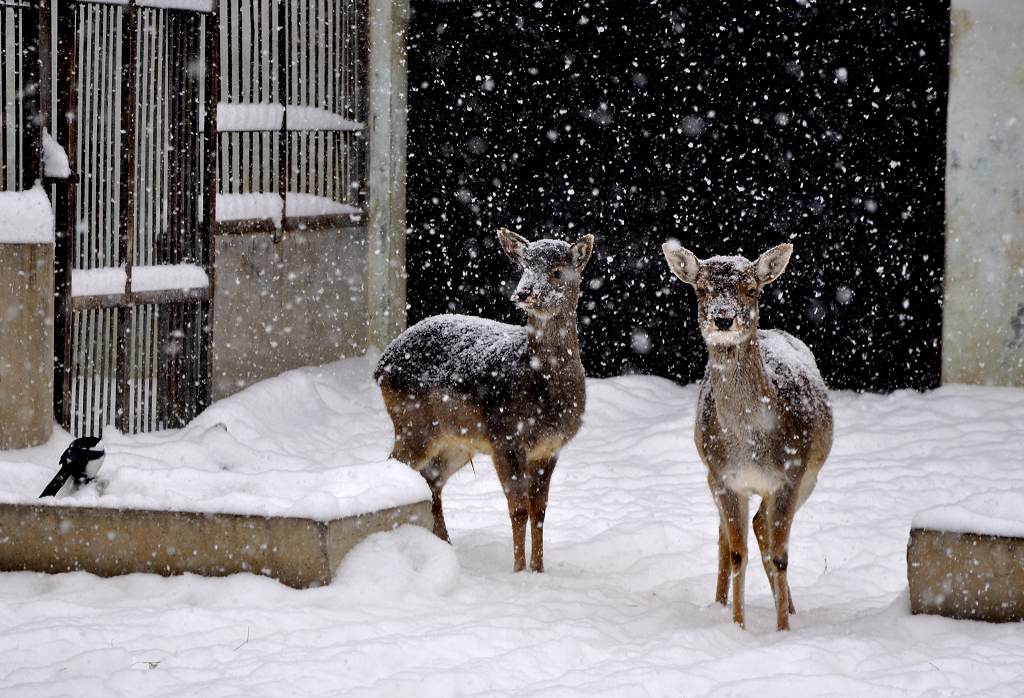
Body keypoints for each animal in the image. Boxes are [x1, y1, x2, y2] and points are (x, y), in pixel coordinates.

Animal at [372, 228, 598, 569]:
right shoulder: (505, 438)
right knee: (396, 467)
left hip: (454, 440)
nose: (524, 293)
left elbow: (540, 512)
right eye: (524, 267)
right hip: (413, 423)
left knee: (431, 480)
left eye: (558, 272)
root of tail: (381, 364)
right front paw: (518, 570)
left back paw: (445, 544)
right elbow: (518, 510)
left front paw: (539, 569)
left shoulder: (550, 449)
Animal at [663, 240, 831, 630]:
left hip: (810, 479)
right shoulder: (725, 478)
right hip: (712, 478)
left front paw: (783, 628)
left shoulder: (789, 476)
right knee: (729, 536)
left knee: (761, 529)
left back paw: (790, 608)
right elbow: (739, 552)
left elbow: (781, 555)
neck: (750, 444)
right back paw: (720, 602)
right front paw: (738, 626)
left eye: (752, 289)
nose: (724, 318)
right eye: (701, 289)